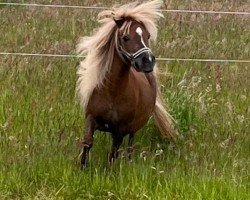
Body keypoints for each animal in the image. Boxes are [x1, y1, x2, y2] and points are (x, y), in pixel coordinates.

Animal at [76, 0, 178, 168]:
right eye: (125, 37)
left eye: (147, 36)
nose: (148, 61)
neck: (112, 91)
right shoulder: (91, 118)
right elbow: (88, 142)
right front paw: (82, 167)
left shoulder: (120, 130)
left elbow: (113, 153)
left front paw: (108, 171)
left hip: (133, 128)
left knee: (130, 145)